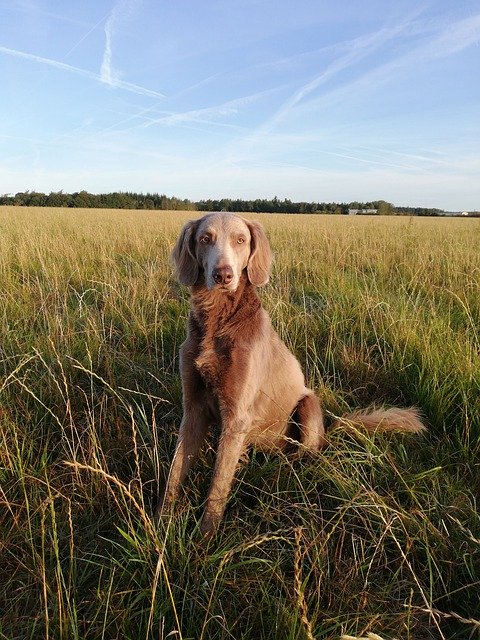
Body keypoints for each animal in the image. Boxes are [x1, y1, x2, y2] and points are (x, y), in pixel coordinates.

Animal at [156, 214, 426, 536]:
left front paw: (205, 537)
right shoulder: (194, 408)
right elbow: (176, 470)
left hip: (308, 404)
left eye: (240, 240)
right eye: (205, 239)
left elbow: (218, 485)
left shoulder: (237, 416)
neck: (218, 322)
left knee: (304, 456)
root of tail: (329, 431)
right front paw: (160, 523)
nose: (223, 275)